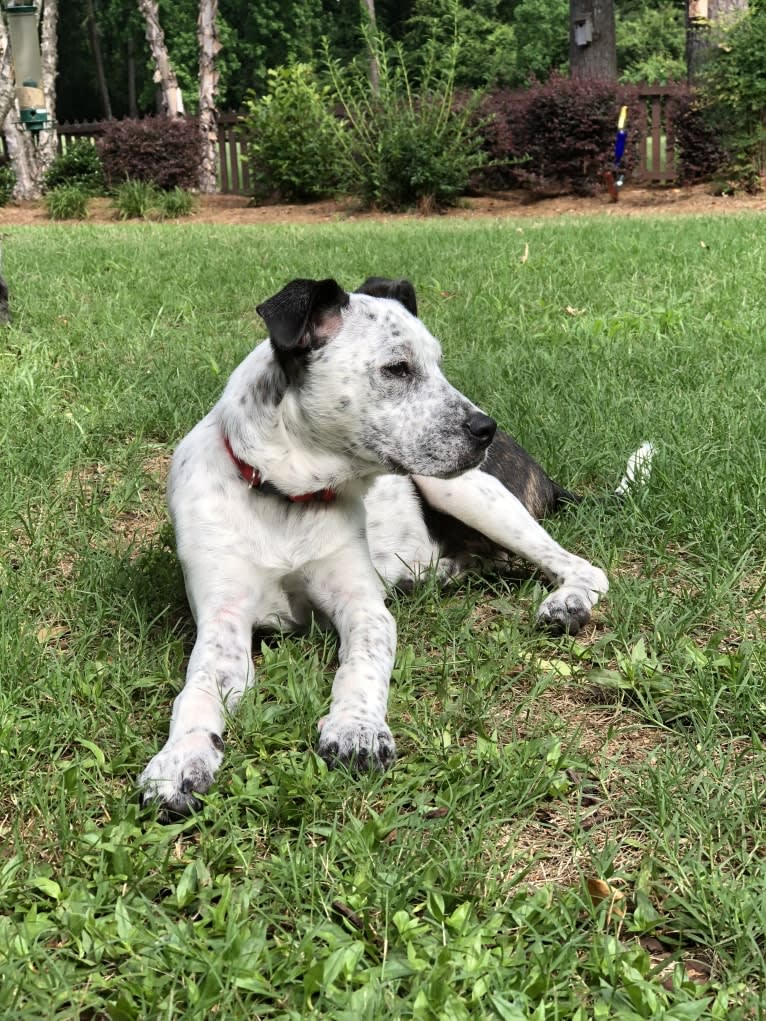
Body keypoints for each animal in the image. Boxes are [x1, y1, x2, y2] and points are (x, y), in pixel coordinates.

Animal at [137, 275, 649, 816]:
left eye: (438, 362)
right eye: (397, 368)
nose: (485, 428)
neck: (287, 496)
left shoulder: (364, 609)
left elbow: (361, 667)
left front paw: (355, 730)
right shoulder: (223, 620)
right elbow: (196, 691)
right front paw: (181, 758)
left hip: (465, 490)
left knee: (578, 565)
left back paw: (566, 603)